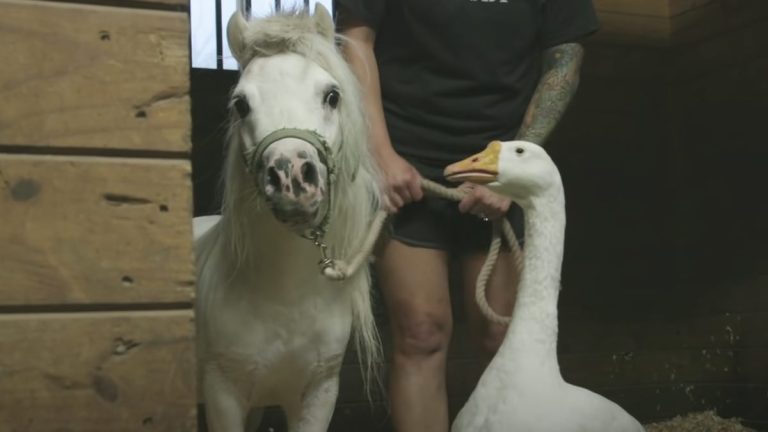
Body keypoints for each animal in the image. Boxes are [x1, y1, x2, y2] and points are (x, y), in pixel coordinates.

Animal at [193, 6, 382, 431]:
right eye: (240, 104)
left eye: (332, 96)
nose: (291, 178)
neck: (286, 297)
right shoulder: (221, 393)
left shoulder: (319, 393)